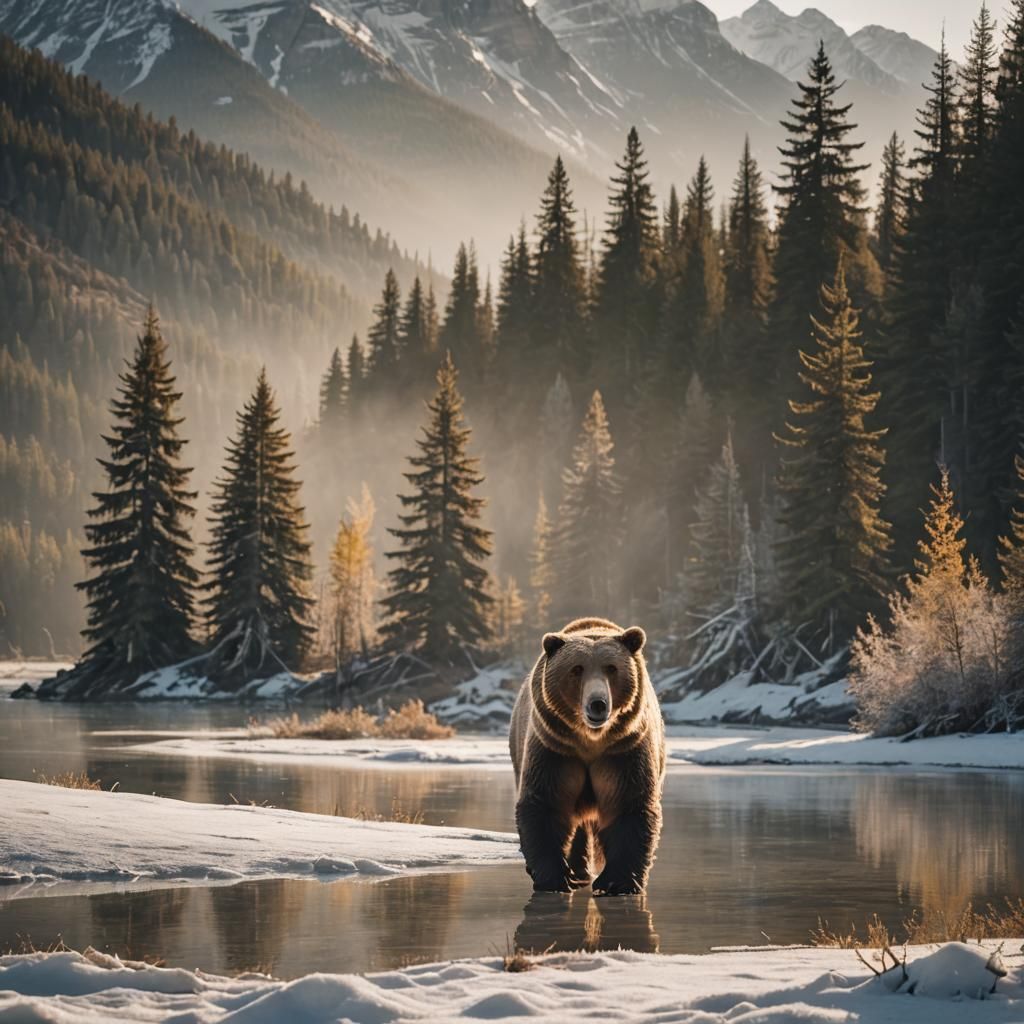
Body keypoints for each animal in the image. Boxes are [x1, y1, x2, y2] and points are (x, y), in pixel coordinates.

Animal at [508, 617, 666, 895]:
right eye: (576, 669)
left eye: (612, 668)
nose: (598, 704)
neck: (591, 740)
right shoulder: (556, 748)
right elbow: (545, 803)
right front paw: (553, 878)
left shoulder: (624, 749)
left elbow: (629, 803)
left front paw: (618, 882)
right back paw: (577, 874)